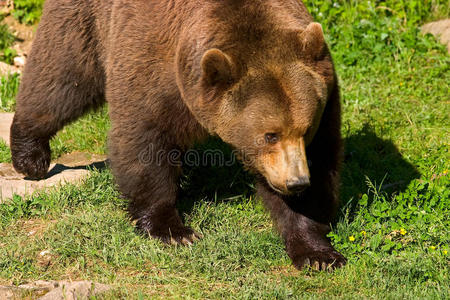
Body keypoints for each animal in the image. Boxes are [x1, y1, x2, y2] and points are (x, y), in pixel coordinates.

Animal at [11, 0, 348, 270]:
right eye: (270, 135)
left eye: (306, 129)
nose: (296, 182)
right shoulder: (155, 66)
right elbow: (144, 144)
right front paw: (174, 231)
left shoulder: (327, 98)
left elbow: (321, 167)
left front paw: (318, 253)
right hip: (86, 21)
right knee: (61, 78)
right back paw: (30, 156)